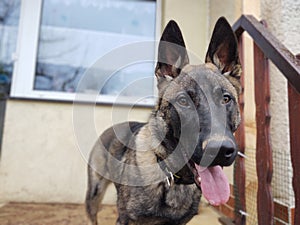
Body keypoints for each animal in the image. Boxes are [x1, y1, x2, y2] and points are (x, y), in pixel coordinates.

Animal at [84, 17, 241, 225]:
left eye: (225, 99)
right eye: (183, 101)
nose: (220, 150)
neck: (174, 177)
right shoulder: (125, 219)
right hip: (94, 193)